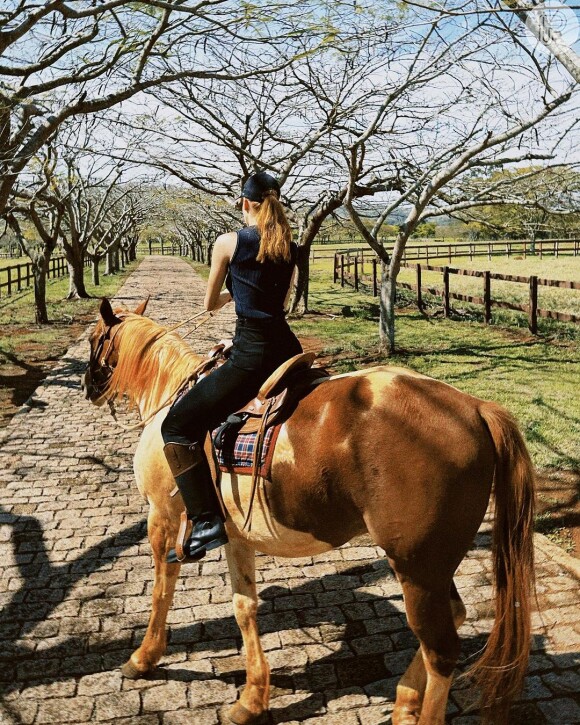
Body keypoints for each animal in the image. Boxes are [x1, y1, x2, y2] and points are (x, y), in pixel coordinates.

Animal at [84, 296, 536, 720]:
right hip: (430, 565)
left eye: (93, 339)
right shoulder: (234, 534)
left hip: (417, 568)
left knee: (440, 650)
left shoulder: (162, 515)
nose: (88, 387)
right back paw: (405, 701)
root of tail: (476, 408)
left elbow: (162, 589)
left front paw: (144, 657)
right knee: (452, 619)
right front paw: (252, 698)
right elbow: (244, 607)